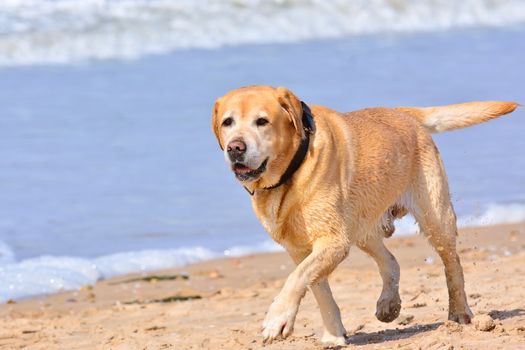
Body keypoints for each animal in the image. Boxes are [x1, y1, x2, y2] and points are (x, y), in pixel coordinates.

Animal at [210, 85, 516, 344]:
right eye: (228, 122)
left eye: (262, 121)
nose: (235, 147)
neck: (291, 172)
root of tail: (403, 113)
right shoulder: (300, 249)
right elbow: (317, 287)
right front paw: (334, 335)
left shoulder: (333, 241)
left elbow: (297, 278)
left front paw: (277, 319)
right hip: (361, 224)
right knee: (391, 261)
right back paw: (388, 304)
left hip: (435, 216)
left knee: (453, 264)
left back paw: (459, 312)